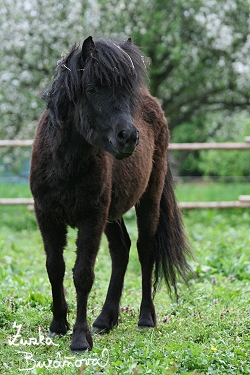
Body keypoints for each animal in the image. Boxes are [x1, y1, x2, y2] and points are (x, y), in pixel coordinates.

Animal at [30, 36, 192, 354]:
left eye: (126, 92)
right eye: (92, 89)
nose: (128, 137)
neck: (65, 162)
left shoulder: (91, 217)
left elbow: (83, 274)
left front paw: (80, 339)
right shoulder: (47, 216)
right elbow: (55, 267)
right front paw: (58, 325)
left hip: (148, 198)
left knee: (144, 249)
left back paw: (146, 318)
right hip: (112, 213)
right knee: (121, 248)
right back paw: (106, 320)